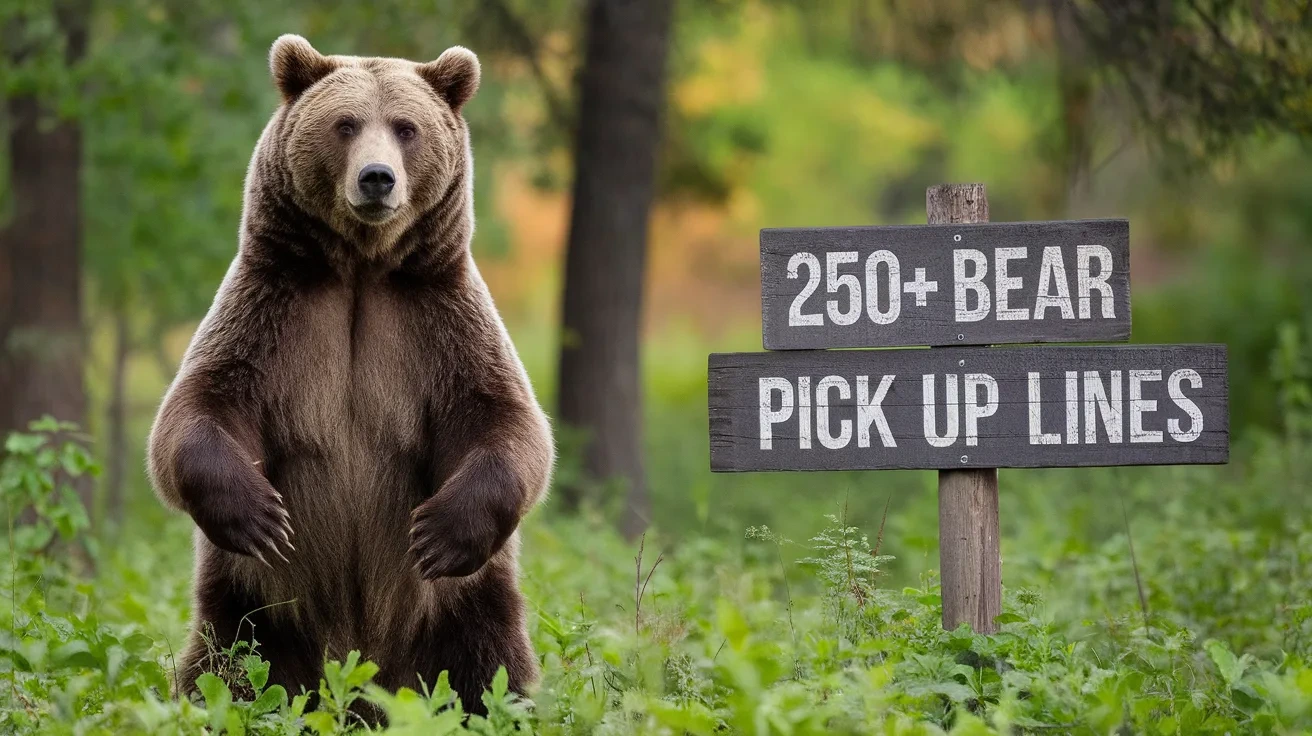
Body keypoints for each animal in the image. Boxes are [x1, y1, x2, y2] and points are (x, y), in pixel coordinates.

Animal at [146, 34, 553, 713]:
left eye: (407, 128)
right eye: (345, 124)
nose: (377, 177)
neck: (362, 267)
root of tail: (361, 682)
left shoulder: (437, 318)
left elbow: (504, 417)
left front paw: (438, 532)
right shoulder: (274, 312)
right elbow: (198, 406)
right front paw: (259, 515)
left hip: (462, 605)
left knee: (487, 669)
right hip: (254, 603)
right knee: (229, 667)